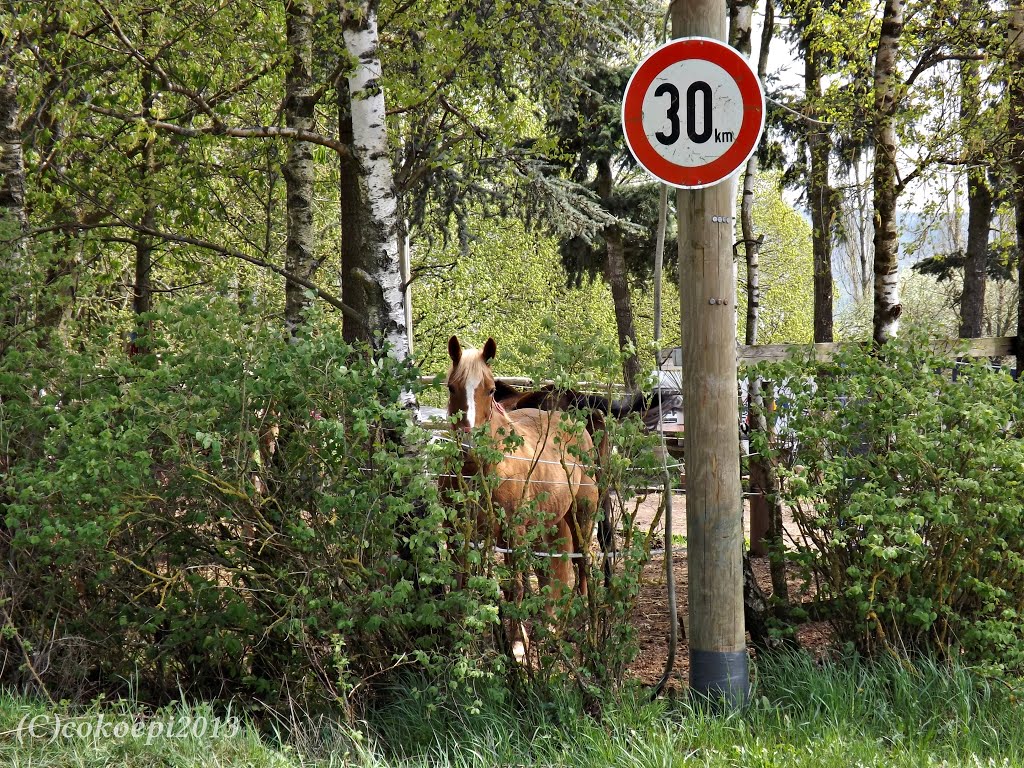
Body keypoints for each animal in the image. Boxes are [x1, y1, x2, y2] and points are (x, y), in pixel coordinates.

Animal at [442, 333, 598, 606]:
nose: (470, 446)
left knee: (582, 562)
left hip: (583, 514)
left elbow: (514, 589)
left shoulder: (513, 531)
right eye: (452, 387)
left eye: (491, 390)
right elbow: (462, 584)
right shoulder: (456, 532)